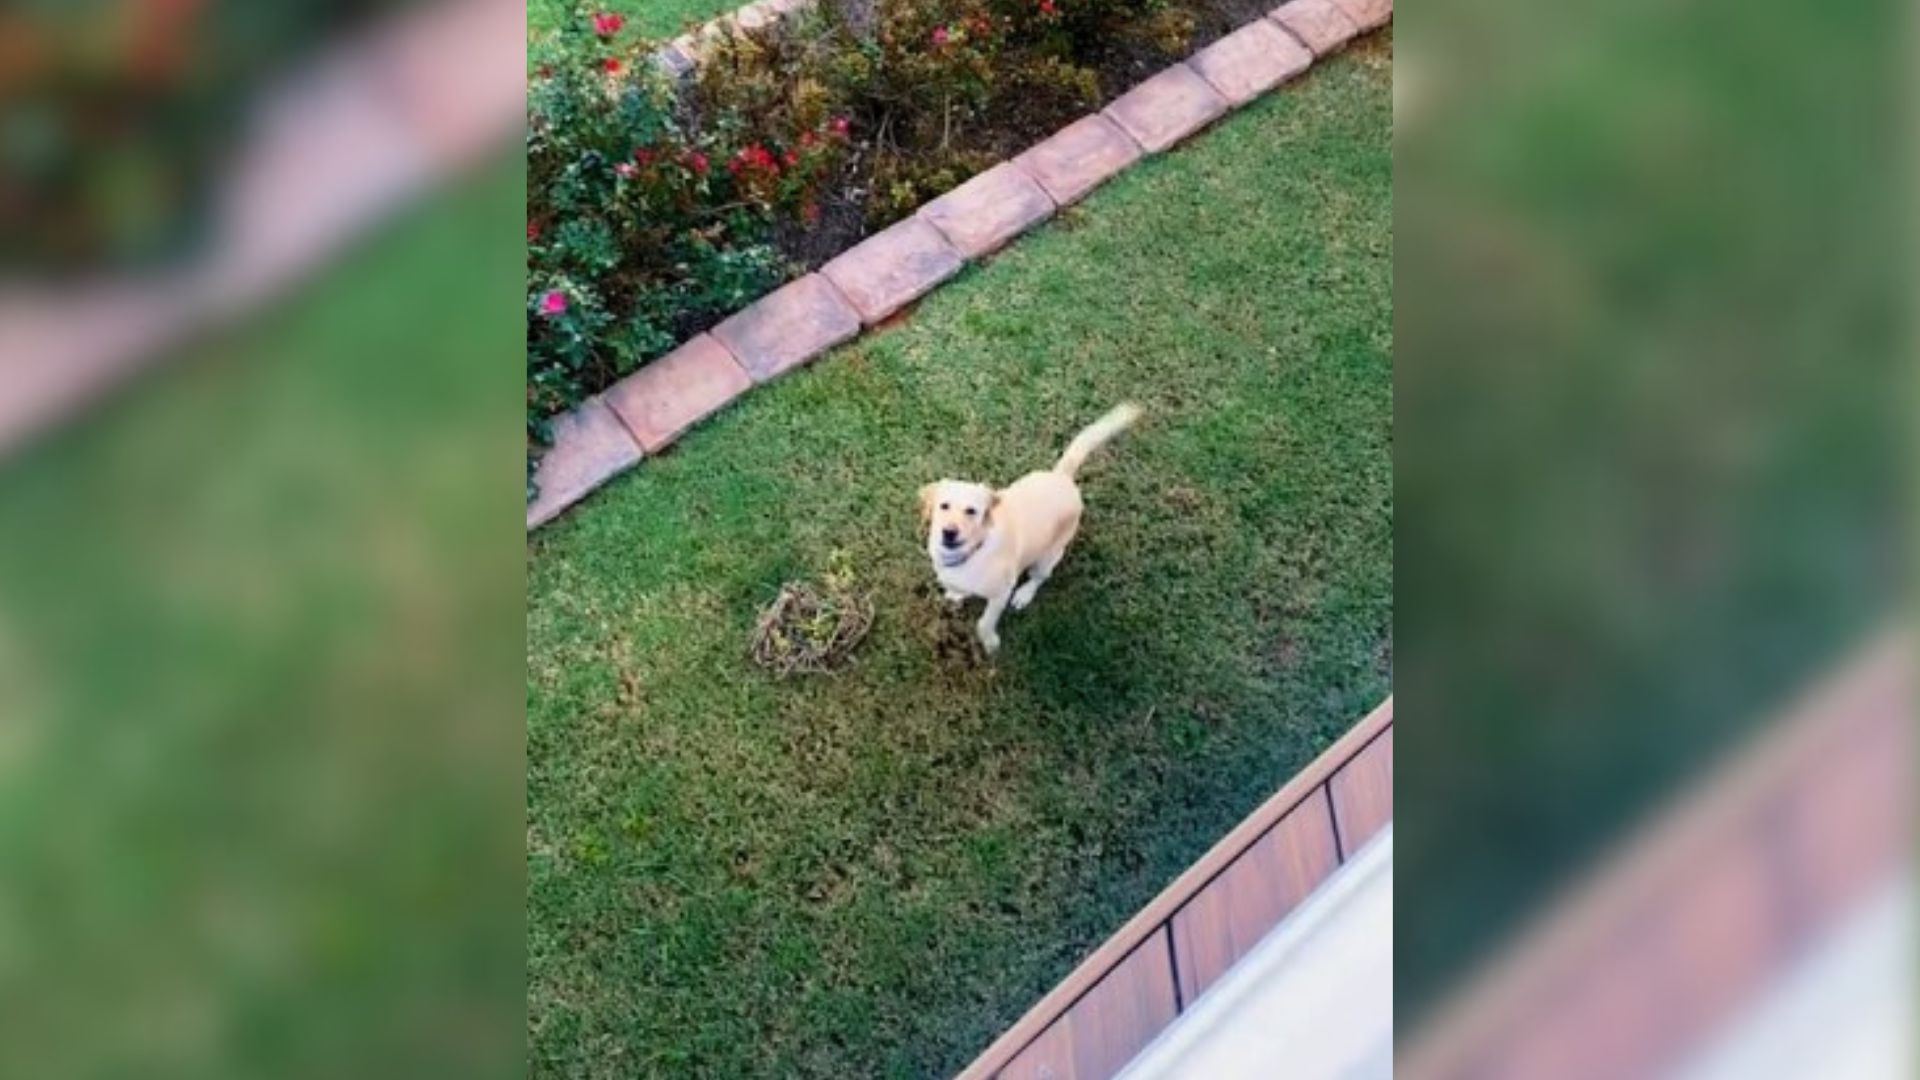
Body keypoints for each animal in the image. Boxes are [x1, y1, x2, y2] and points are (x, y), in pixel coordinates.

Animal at [917, 401, 1136, 653]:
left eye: (971, 511)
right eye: (944, 506)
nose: (949, 532)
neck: (971, 553)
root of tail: (1062, 477)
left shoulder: (1001, 594)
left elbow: (985, 622)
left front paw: (989, 641)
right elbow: (957, 588)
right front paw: (955, 593)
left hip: (1047, 557)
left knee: (1040, 578)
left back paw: (1024, 594)